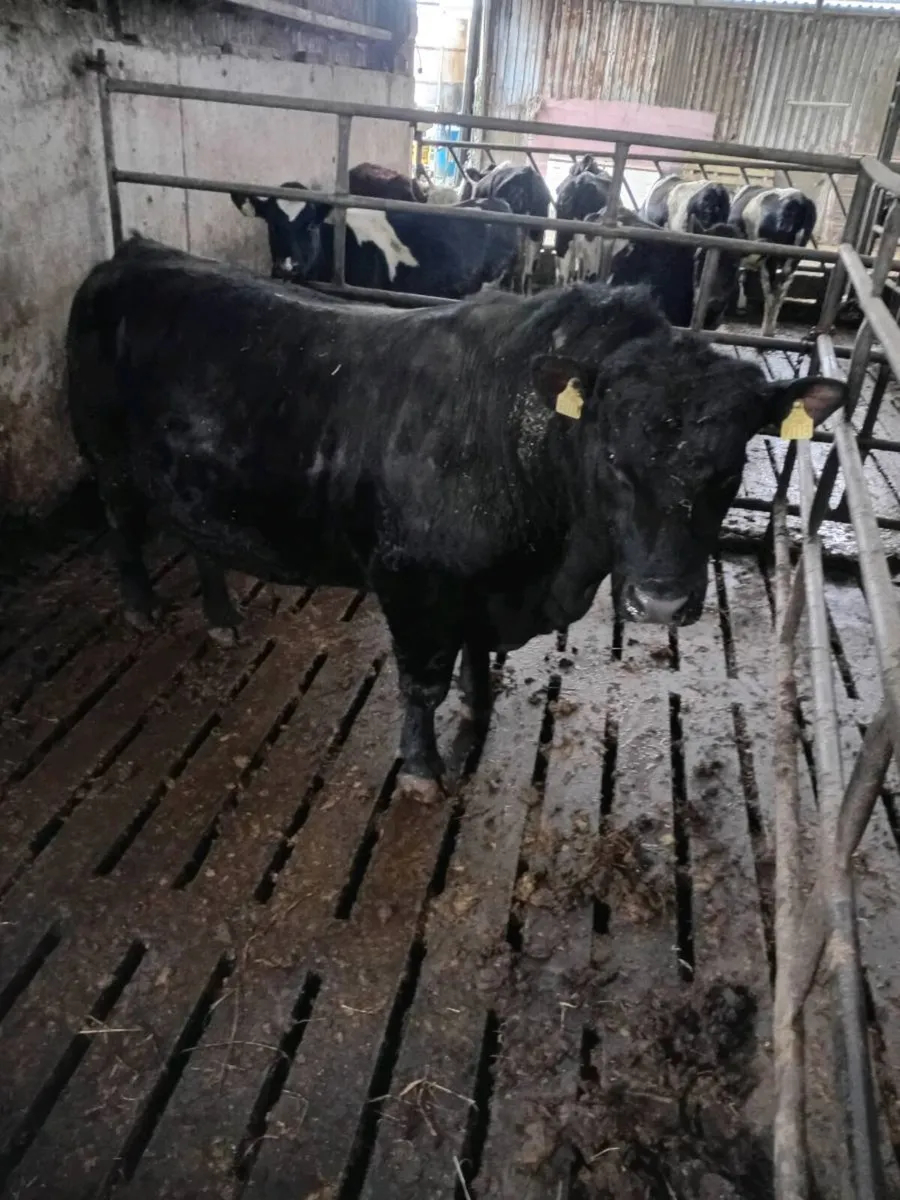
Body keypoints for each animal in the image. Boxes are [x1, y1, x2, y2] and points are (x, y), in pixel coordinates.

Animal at [67, 236, 847, 801]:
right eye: (613, 457)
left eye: (730, 469)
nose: (662, 599)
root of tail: (133, 253)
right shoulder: (412, 579)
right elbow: (423, 681)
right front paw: (421, 769)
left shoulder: (483, 586)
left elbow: (474, 659)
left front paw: (478, 714)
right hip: (105, 454)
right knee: (119, 522)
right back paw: (142, 607)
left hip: (194, 481)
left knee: (200, 537)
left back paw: (223, 617)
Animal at [729, 185, 817, 336]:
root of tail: (798, 198)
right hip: (794, 257)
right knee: (781, 289)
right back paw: (770, 330)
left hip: (771, 255)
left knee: (770, 289)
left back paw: (766, 330)